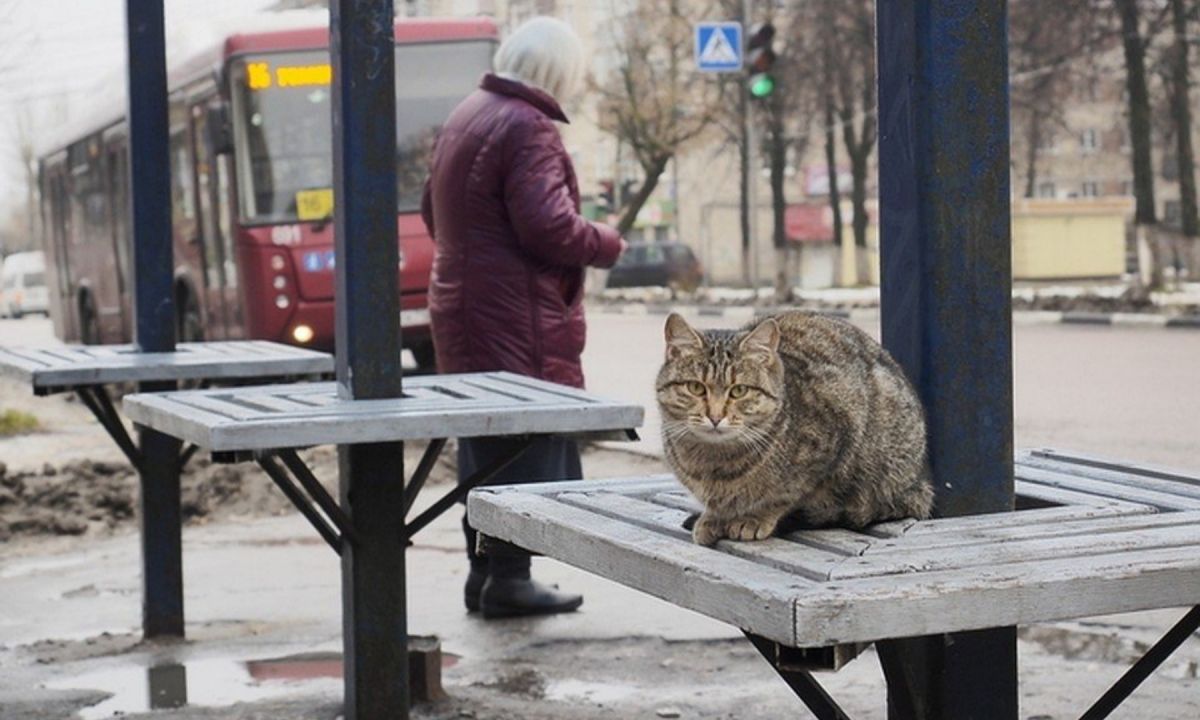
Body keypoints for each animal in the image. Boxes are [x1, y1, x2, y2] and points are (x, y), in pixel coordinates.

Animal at [657, 309, 926, 544]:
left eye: (739, 391)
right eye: (695, 387)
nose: (715, 416)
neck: (714, 462)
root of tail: (919, 482)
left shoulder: (835, 441)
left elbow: (786, 495)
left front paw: (753, 517)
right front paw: (713, 517)